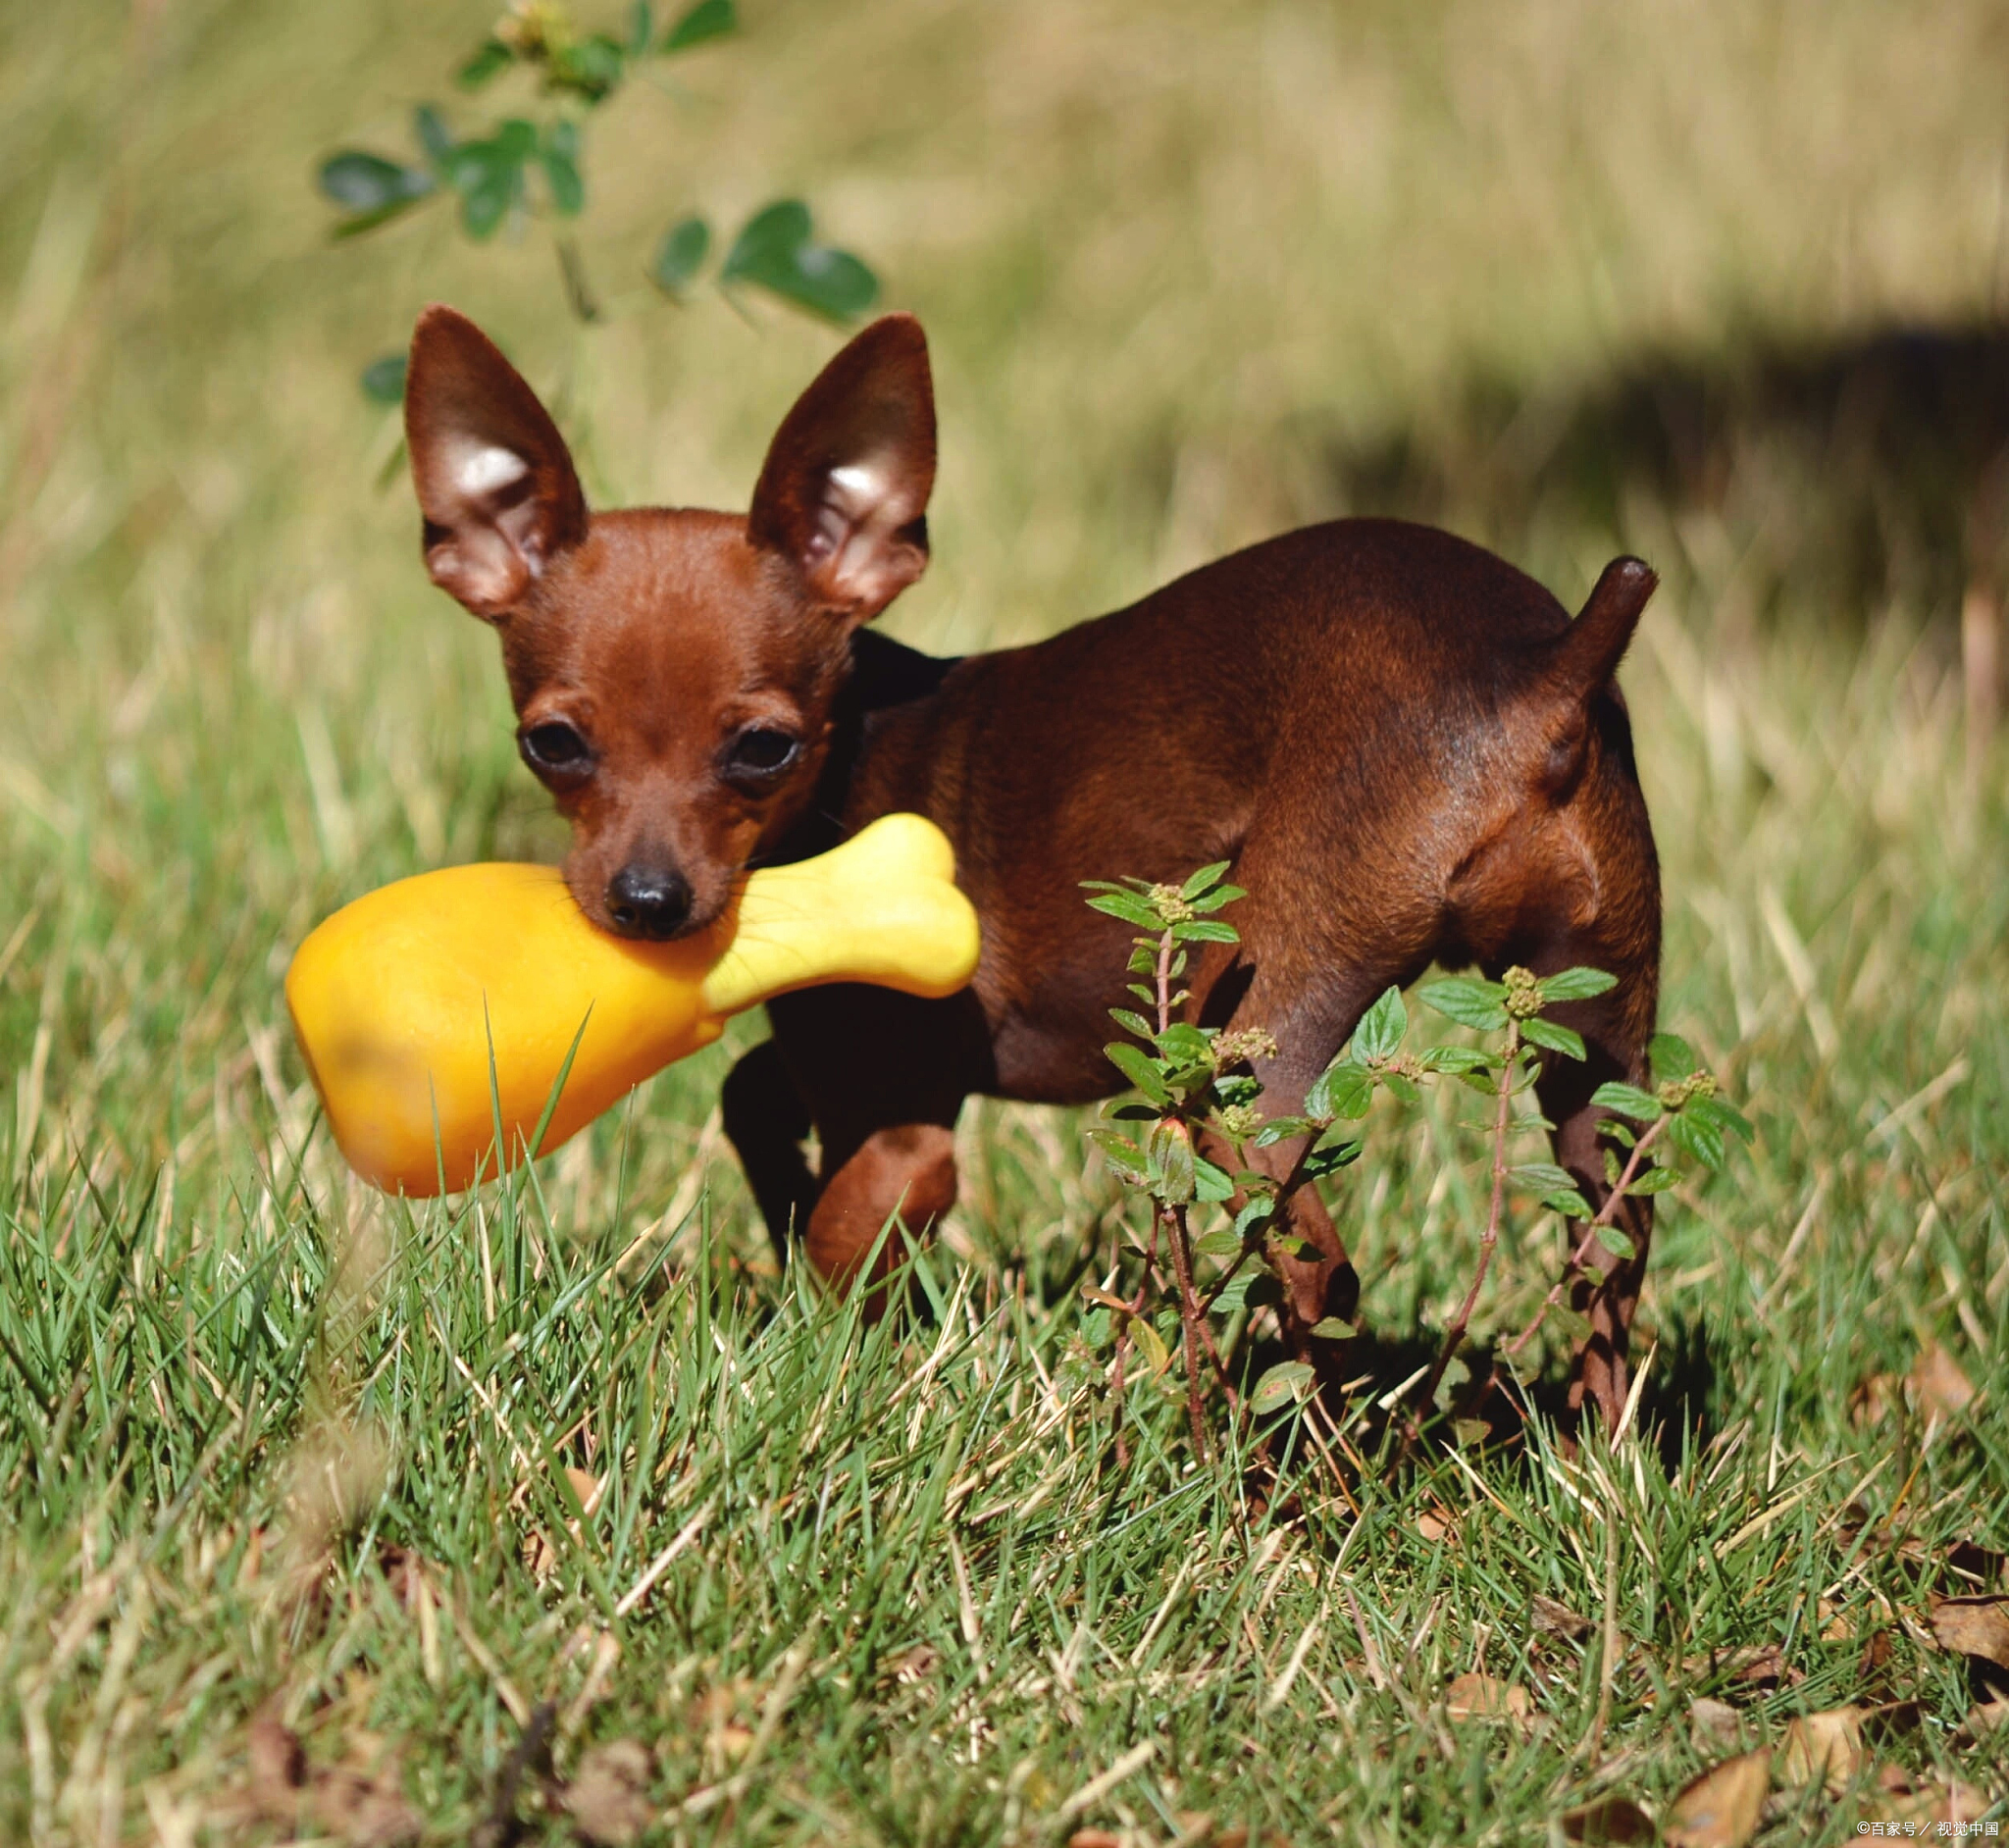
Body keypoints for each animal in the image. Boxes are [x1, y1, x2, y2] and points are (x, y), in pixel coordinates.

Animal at [399, 303, 1655, 1430]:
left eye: (762, 748)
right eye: (554, 744)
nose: (647, 904)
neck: (859, 746)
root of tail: (1538, 670)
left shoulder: (903, 1131)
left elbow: (840, 1242)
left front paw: (819, 1377)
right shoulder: (840, 1058)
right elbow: (751, 1094)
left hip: (1250, 1071)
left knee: (1309, 1268)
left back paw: (1299, 1474)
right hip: (1602, 1054)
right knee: (1611, 1241)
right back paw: (1592, 1459)